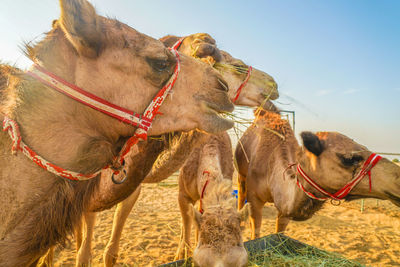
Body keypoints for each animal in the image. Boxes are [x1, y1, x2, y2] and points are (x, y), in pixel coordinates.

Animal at [234, 101, 400, 240]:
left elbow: (279, 234)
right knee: (241, 194)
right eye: (349, 158)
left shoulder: (285, 211)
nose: (397, 182)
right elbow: (255, 233)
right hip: (241, 173)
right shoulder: (254, 199)